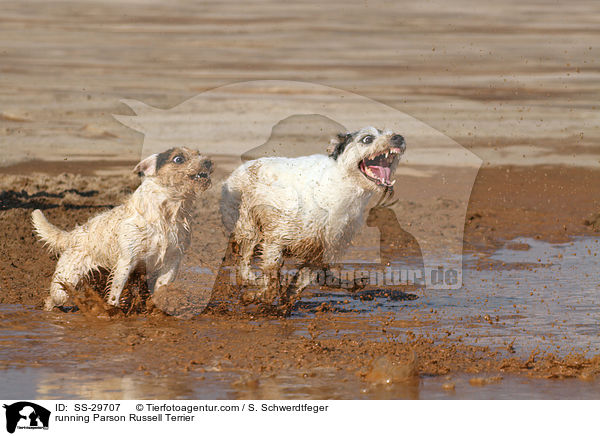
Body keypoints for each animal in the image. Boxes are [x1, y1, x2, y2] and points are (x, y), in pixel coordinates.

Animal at [33, 148, 213, 312]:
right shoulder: (127, 260)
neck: (167, 212)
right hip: (65, 282)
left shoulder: (172, 259)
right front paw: (113, 311)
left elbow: (162, 288)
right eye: (178, 159)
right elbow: (115, 292)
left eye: (198, 153)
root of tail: (73, 234)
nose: (208, 162)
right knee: (52, 298)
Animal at [218, 125, 406, 304]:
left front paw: (281, 305)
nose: (399, 137)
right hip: (247, 226)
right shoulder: (276, 240)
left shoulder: (319, 253)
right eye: (367, 139)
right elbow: (271, 281)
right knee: (244, 261)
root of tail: (238, 170)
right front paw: (257, 296)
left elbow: (296, 287)